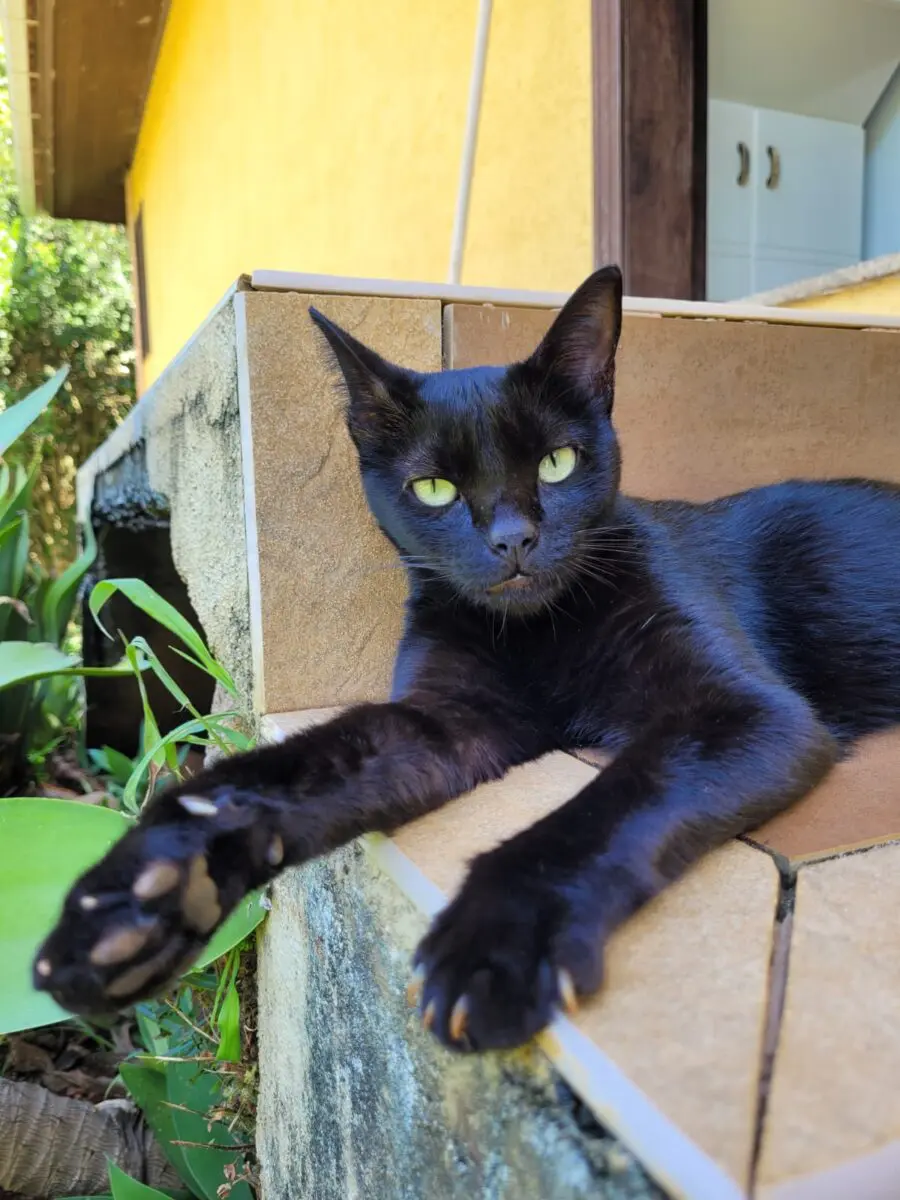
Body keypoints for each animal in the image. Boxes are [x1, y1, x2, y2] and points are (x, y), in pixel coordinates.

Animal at [35, 270, 900, 1051]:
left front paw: (499, 943)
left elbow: (605, 806)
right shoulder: (446, 717)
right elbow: (288, 771)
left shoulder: (745, 710)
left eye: (556, 463)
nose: (513, 538)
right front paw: (137, 897)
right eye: (434, 488)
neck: (534, 634)